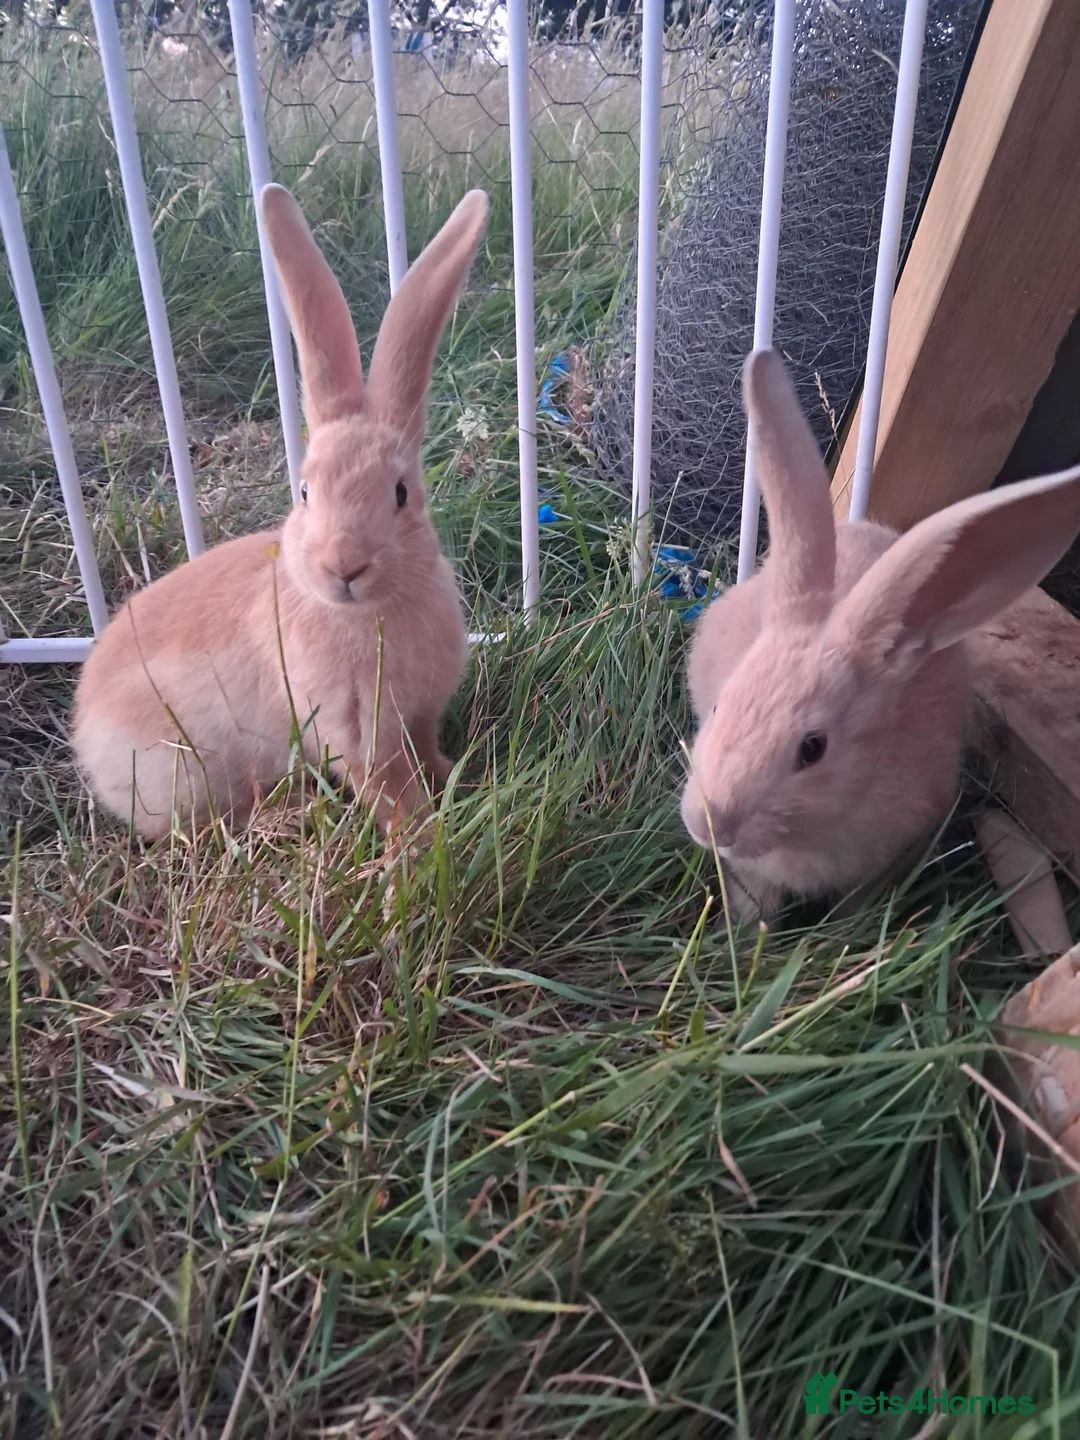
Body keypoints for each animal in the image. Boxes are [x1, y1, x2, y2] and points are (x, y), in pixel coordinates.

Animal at [72, 184, 489, 841]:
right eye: (305, 492)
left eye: (400, 493)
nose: (344, 566)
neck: (363, 612)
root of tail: (83, 736)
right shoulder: (355, 731)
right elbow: (389, 789)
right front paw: (422, 834)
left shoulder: (419, 714)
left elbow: (427, 754)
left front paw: (455, 783)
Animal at [680, 347, 1080, 924]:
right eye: (718, 707)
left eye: (813, 749)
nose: (707, 823)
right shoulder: (752, 875)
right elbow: (756, 907)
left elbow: (852, 906)